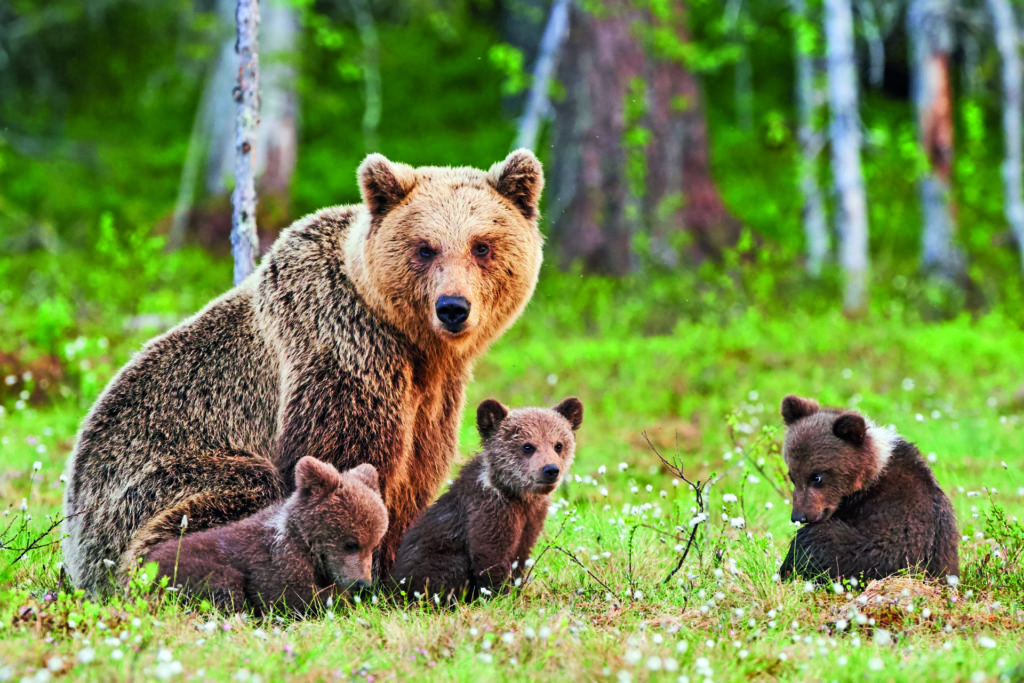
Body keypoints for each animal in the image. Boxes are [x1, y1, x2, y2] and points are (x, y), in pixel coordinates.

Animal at [58, 148, 544, 593]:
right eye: (425, 248)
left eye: (482, 245)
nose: (453, 307)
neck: (411, 343)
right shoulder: (342, 350)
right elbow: (344, 461)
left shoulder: (434, 394)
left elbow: (415, 475)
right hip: (151, 482)